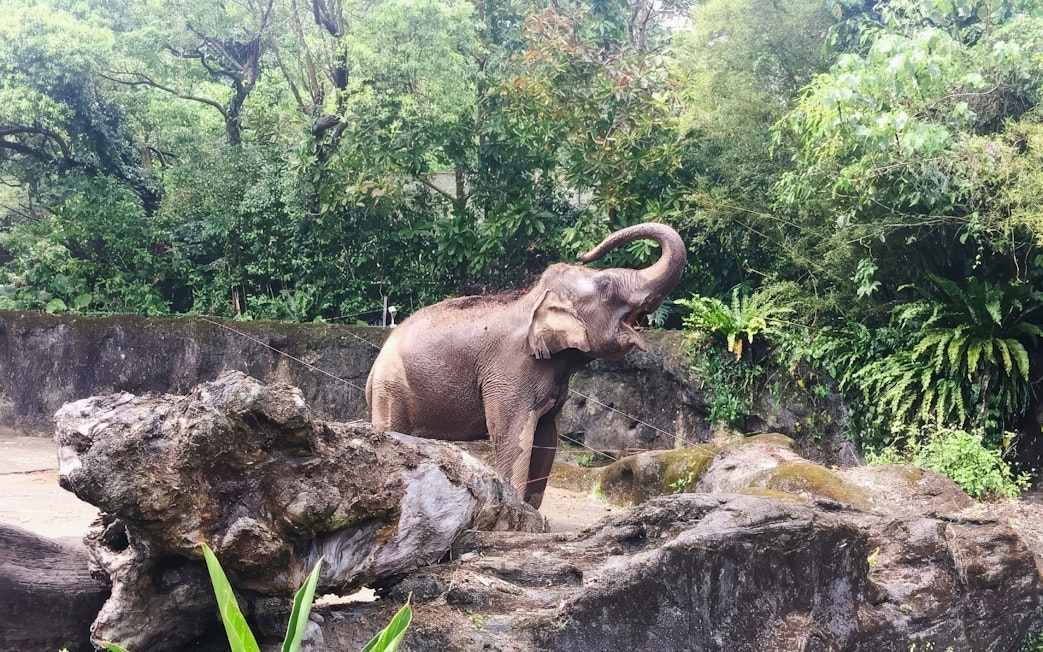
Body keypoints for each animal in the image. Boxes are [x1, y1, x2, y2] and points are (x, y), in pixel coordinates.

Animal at [366, 223, 686, 508]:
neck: (533, 298)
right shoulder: (508, 371)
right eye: (605, 286)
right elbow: (513, 435)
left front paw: (532, 515)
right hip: (391, 390)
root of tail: (373, 369)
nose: (584, 253)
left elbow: (547, 437)